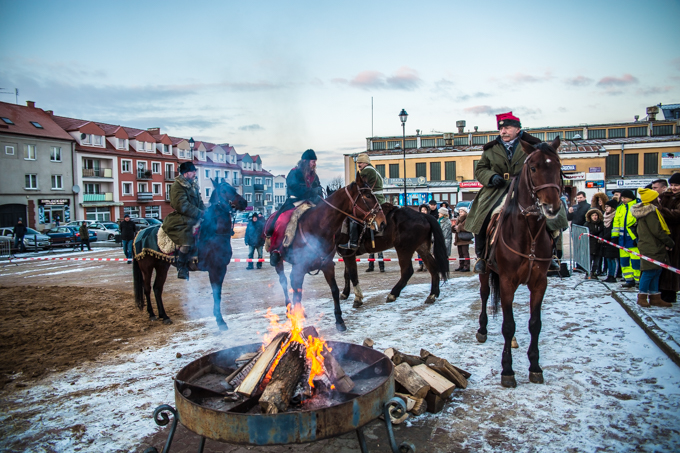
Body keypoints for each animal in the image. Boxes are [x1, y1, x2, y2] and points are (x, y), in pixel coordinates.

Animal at [132, 178, 247, 330]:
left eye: (234, 189)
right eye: (224, 190)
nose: (244, 203)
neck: (213, 232)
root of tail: (140, 233)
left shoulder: (222, 269)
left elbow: (218, 294)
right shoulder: (214, 269)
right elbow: (216, 294)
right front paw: (220, 321)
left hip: (162, 265)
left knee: (157, 288)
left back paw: (164, 316)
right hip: (146, 267)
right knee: (147, 288)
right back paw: (152, 314)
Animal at [272, 177, 388, 332]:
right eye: (368, 196)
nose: (382, 222)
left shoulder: (337, 259)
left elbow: (342, 282)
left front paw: (344, 310)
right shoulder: (343, 255)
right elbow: (350, 274)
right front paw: (352, 296)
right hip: (280, 262)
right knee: (284, 282)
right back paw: (290, 309)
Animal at [472, 136, 564, 386]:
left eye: (558, 167)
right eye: (533, 168)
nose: (551, 207)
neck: (529, 232)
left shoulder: (539, 282)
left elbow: (535, 324)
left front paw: (535, 366)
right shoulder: (506, 282)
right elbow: (508, 325)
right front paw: (507, 370)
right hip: (486, 273)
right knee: (485, 295)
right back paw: (482, 330)